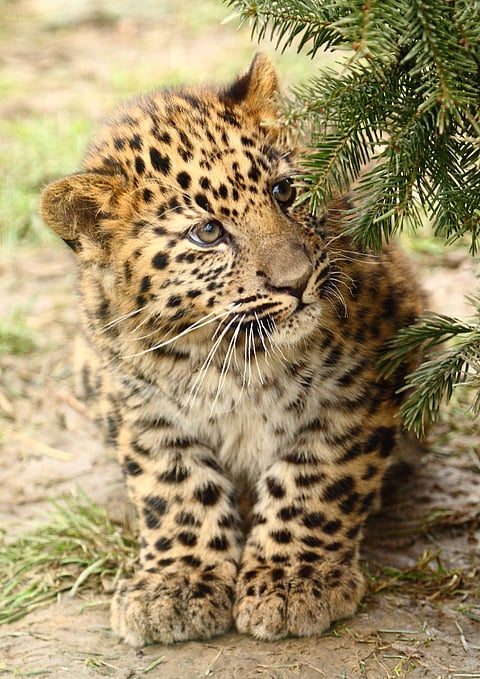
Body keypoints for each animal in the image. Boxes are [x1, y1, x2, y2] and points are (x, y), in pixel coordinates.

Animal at [40, 54, 425, 647]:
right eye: (207, 233)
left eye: (285, 192)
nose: (298, 281)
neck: (233, 356)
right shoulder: (141, 409)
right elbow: (175, 489)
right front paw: (175, 585)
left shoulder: (364, 382)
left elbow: (315, 479)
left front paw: (294, 580)